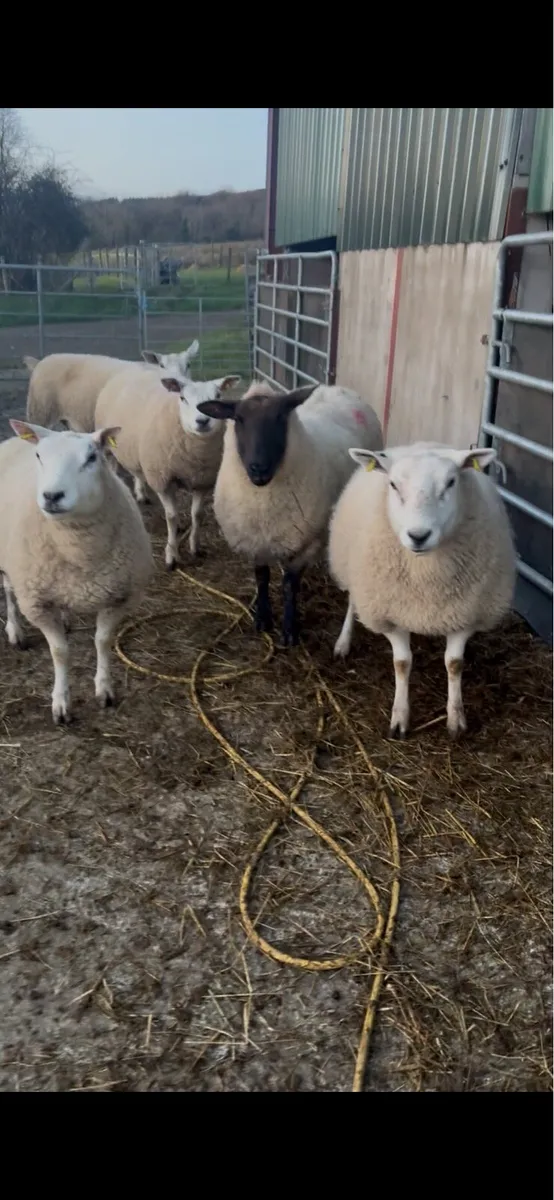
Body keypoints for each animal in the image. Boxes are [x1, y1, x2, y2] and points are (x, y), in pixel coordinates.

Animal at [0, 420, 153, 725]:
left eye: (92, 458)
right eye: (39, 456)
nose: (52, 496)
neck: (80, 551)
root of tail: (12, 439)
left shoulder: (120, 596)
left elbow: (103, 641)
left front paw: (104, 689)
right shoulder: (37, 602)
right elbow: (60, 652)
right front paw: (61, 703)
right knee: (9, 592)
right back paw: (15, 630)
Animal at [95, 364, 241, 566]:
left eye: (218, 395)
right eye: (183, 398)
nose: (202, 421)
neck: (196, 454)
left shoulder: (203, 480)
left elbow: (198, 514)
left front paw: (195, 547)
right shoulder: (161, 479)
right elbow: (171, 517)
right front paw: (171, 555)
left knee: (137, 472)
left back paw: (141, 493)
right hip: (110, 446)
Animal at [197, 378, 384, 646]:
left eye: (280, 416)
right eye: (239, 419)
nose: (258, 468)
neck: (263, 503)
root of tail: (336, 388)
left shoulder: (305, 543)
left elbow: (289, 585)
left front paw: (289, 630)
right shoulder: (255, 541)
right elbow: (261, 577)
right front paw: (262, 619)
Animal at [328, 441, 517, 738]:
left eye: (451, 482)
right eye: (393, 485)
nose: (419, 536)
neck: (427, 578)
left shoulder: (466, 612)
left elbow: (454, 663)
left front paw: (456, 719)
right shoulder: (389, 615)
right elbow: (402, 664)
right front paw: (399, 718)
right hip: (350, 568)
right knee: (351, 603)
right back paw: (343, 643)